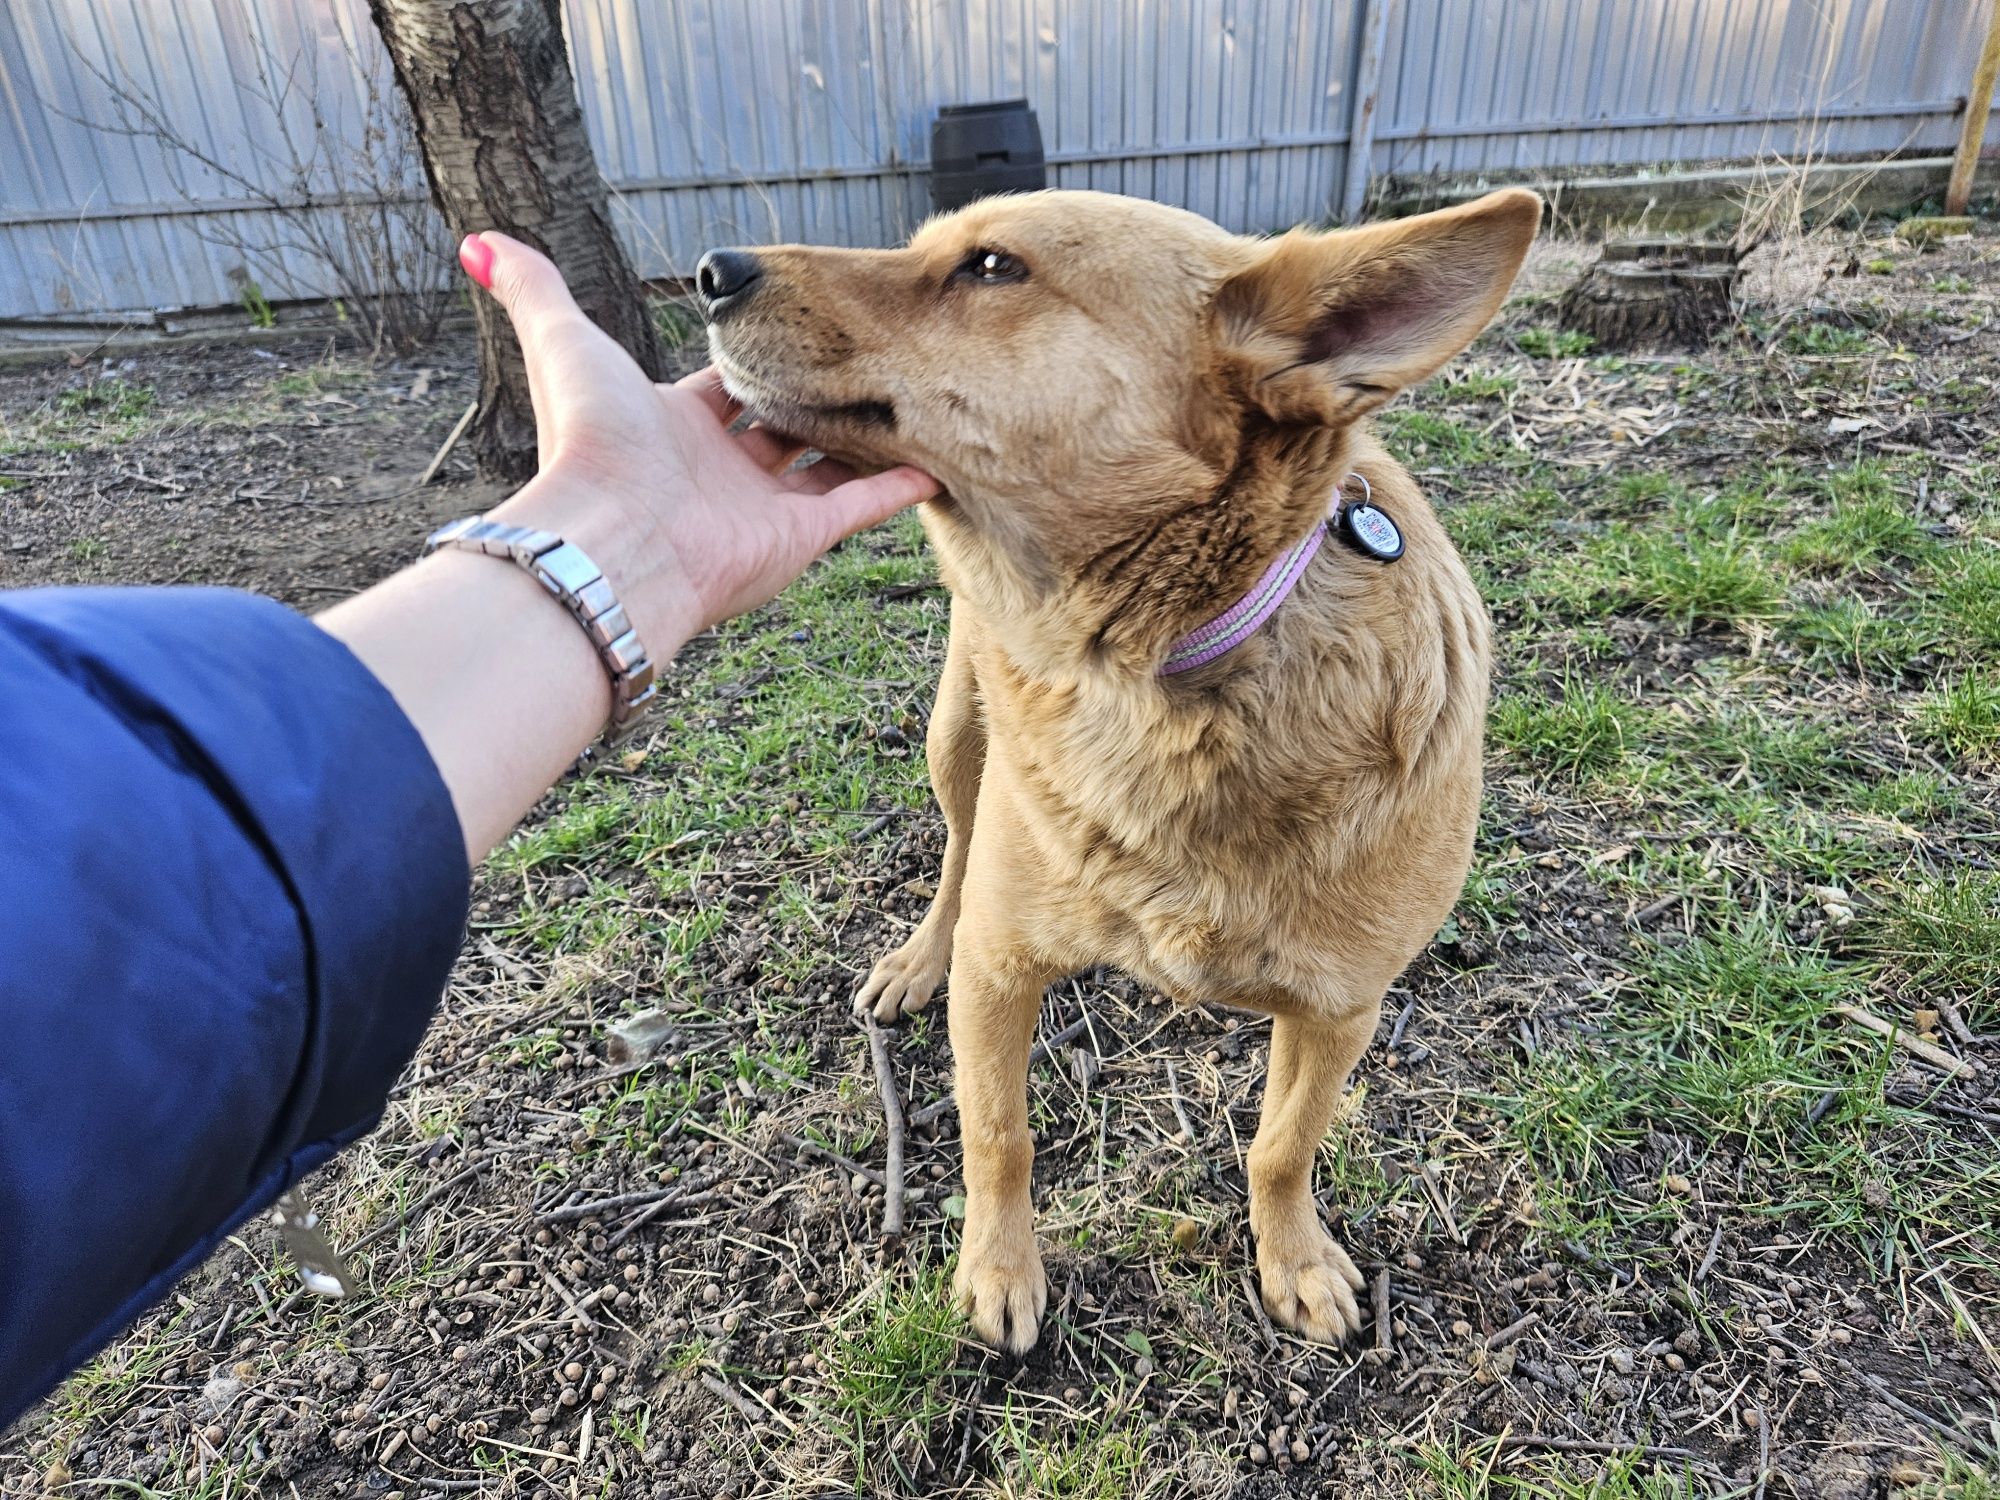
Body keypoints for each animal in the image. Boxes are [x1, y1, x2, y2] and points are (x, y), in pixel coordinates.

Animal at [704, 185, 1544, 1352]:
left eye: (993, 267)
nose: (709, 270)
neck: (1163, 676)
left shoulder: (1341, 1010)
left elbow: (1282, 1146)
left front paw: (1293, 1259)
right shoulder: (1001, 970)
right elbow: (998, 1133)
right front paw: (998, 1271)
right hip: (957, 737)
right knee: (959, 847)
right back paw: (917, 957)